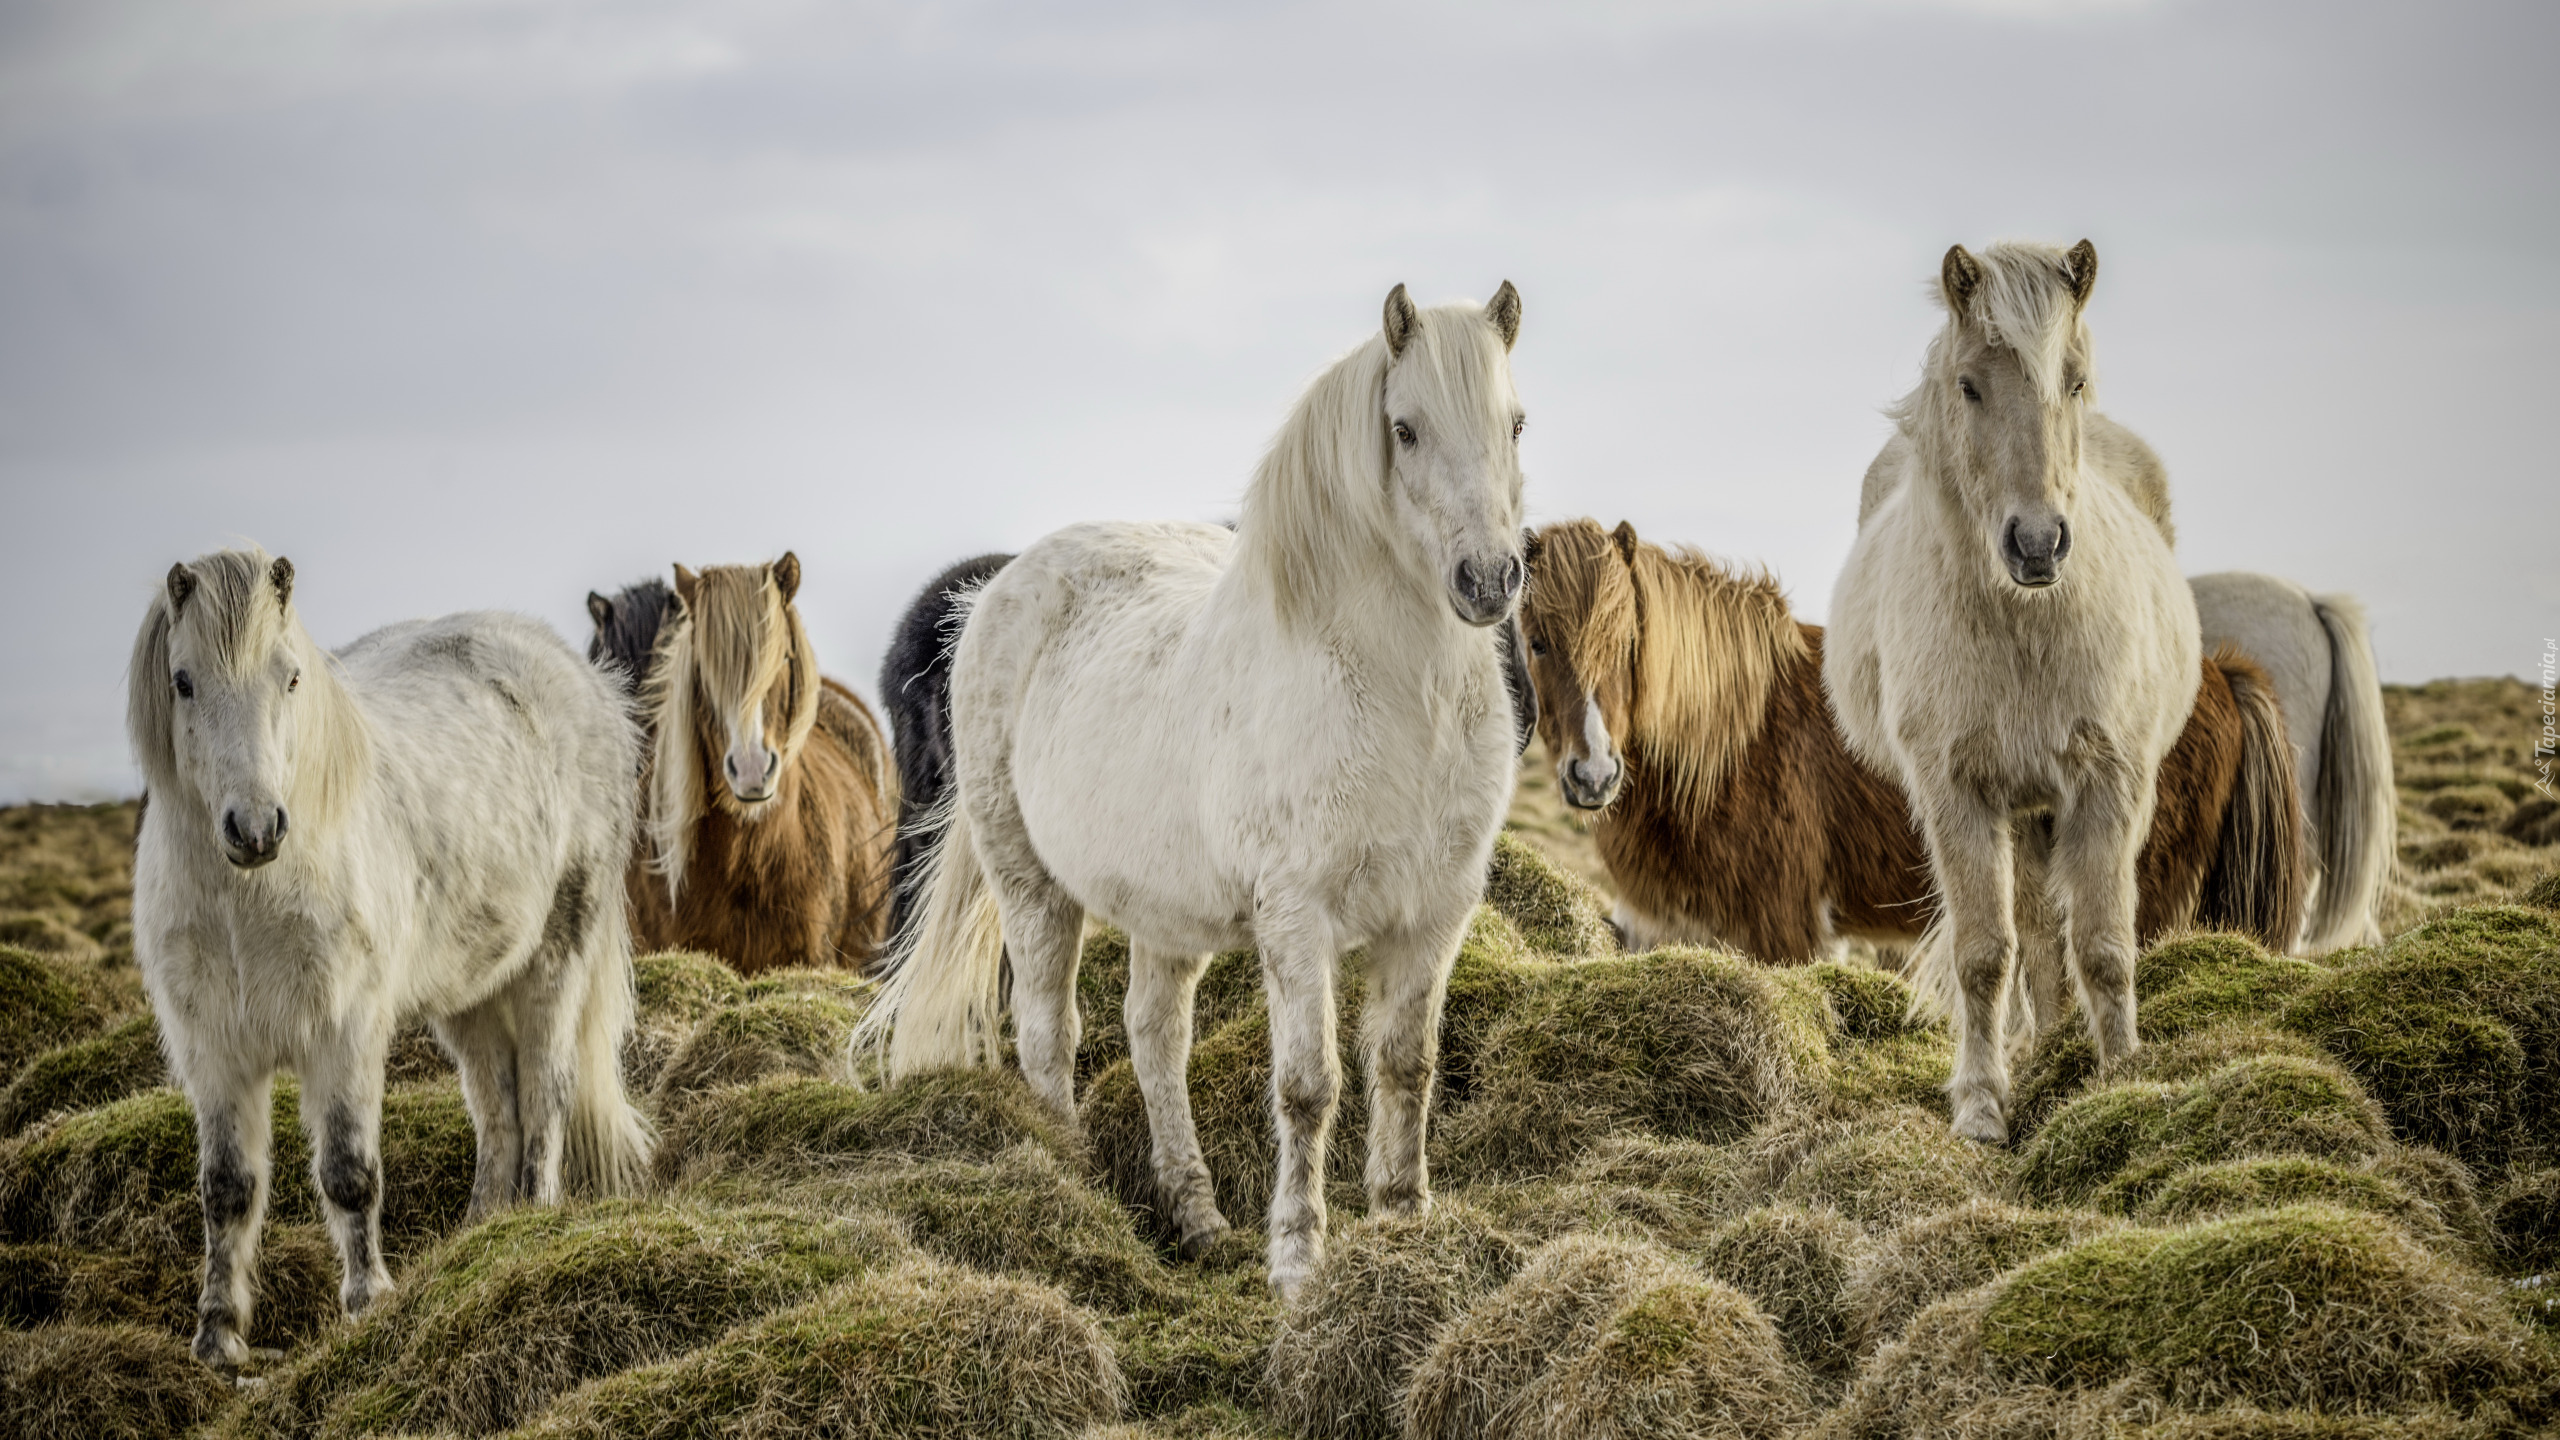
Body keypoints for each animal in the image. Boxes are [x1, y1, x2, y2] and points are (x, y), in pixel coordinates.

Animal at [128, 545, 650, 1352]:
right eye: (183, 681)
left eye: (291, 675)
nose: (256, 828)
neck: (247, 902)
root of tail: (586, 681)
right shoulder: (212, 1051)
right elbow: (227, 1189)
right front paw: (217, 1336)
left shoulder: (344, 1033)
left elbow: (349, 1171)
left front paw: (367, 1300)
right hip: (471, 990)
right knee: (496, 1101)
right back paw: (479, 1233)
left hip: (556, 957)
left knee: (545, 1089)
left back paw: (531, 1221)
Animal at [860, 280, 1525, 1291]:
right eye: (1405, 429)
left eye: (1516, 422)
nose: (1488, 581)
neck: (1399, 695)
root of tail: (994, 592)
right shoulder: (1297, 919)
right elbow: (1309, 1087)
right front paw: (1296, 1264)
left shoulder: (1435, 915)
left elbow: (1407, 1066)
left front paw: (1404, 1225)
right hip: (1031, 885)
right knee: (1048, 1033)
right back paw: (1076, 1187)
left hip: (1162, 910)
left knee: (1154, 1036)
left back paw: (1197, 1216)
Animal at [1505, 515, 2314, 963]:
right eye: (1537, 640)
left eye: (1627, 643)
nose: (1592, 775)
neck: (1732, 737)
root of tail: (2218, 672)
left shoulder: (1785, 929)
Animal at [1822, 245, 2201, 1142]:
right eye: (1969, 385)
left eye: (2074, 379)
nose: (2036, 543)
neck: (2025, 622)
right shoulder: (1957, 794)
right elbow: (1985, 953)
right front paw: (1982, 1104)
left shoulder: (2110, 784)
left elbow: (2104, 945)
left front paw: (2121, 1077)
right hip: (2019, 808)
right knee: (2028, 929)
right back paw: (2041, 1044)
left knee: (2051, 928)